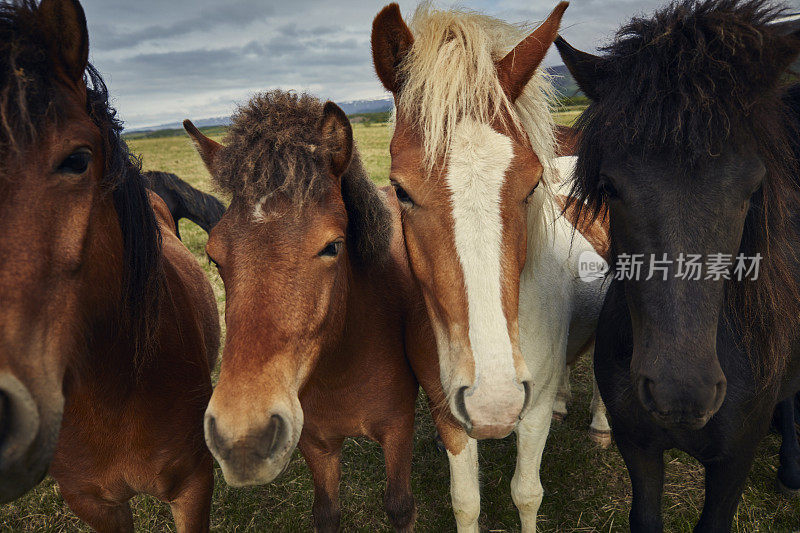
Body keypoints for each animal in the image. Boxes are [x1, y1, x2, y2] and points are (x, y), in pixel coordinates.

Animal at [184, 89, 466, 528]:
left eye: (333, 246)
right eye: (214, 256)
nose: (243, 437)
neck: (342, 365)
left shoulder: (397, 429)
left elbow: (400, 505)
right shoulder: (316, 444)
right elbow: (326, 512)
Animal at [372, 2, 608, 528]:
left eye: (533, 183)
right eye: (399, 190)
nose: (493, 401)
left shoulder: (530, 410)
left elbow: (527, 493)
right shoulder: (447, 410)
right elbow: (466, 501)